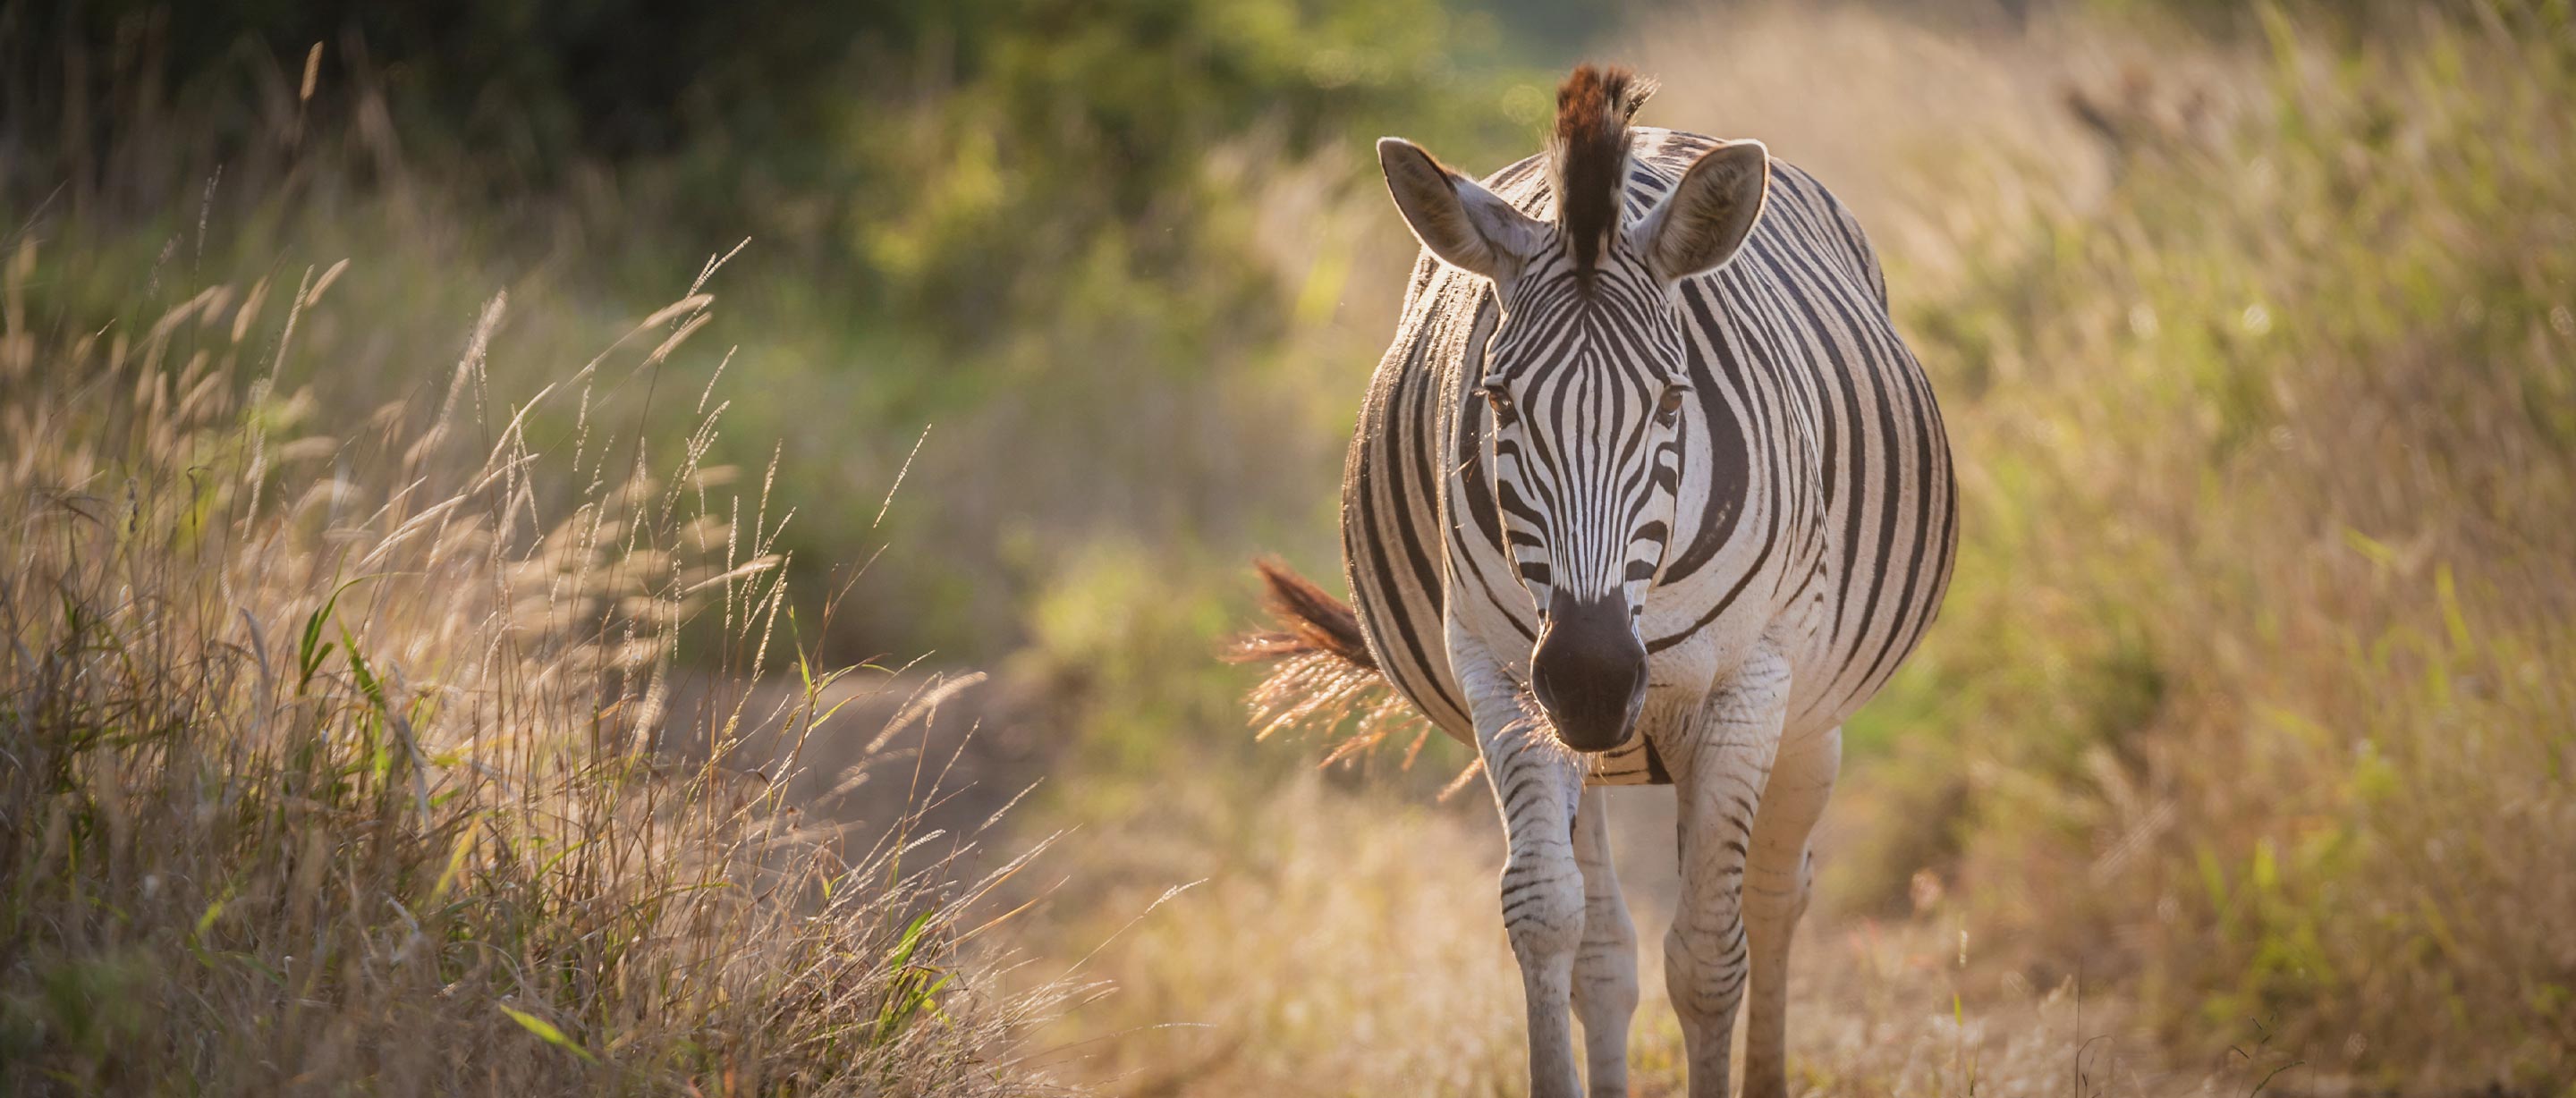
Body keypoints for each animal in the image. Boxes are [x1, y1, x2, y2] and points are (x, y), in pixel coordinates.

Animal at [1244, 65, 1956, 1098]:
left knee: (1775, 896)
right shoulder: (1503, 677)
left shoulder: (1752, 685)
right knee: (1609, 950)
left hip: (1810, 714)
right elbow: (1549, 917)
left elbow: (1710, 954)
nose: (1590, 680)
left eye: (1671, 399)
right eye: (1497, 401)